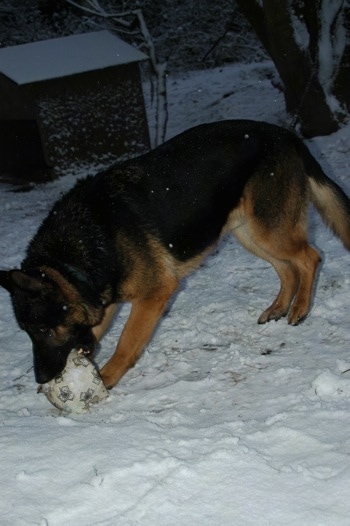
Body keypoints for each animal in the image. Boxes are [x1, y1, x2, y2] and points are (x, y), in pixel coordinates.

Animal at [0, 121, 350, 390]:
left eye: (44, 331)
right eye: (28, 333)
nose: (41, 379)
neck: (75, 255)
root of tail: (287, 134)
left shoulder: (154, 294)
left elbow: (126, 341)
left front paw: (106, 378)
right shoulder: (104, 298)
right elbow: (97, 329)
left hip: (268, 230)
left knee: (310, 257)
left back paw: (300, 309)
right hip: (250, 233)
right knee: (288, 269)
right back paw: (278, 308)